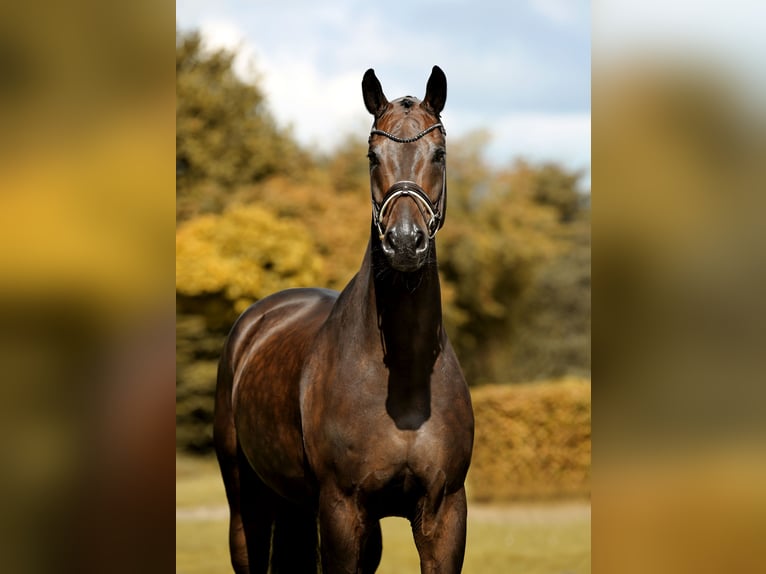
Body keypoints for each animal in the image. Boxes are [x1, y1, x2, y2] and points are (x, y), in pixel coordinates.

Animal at [214, 66, 474, 574]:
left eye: (439, 153)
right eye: (373, 156)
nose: (405, 242)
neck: (404, 378)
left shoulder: (445, 512)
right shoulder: (341, 509)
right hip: (246, 502)